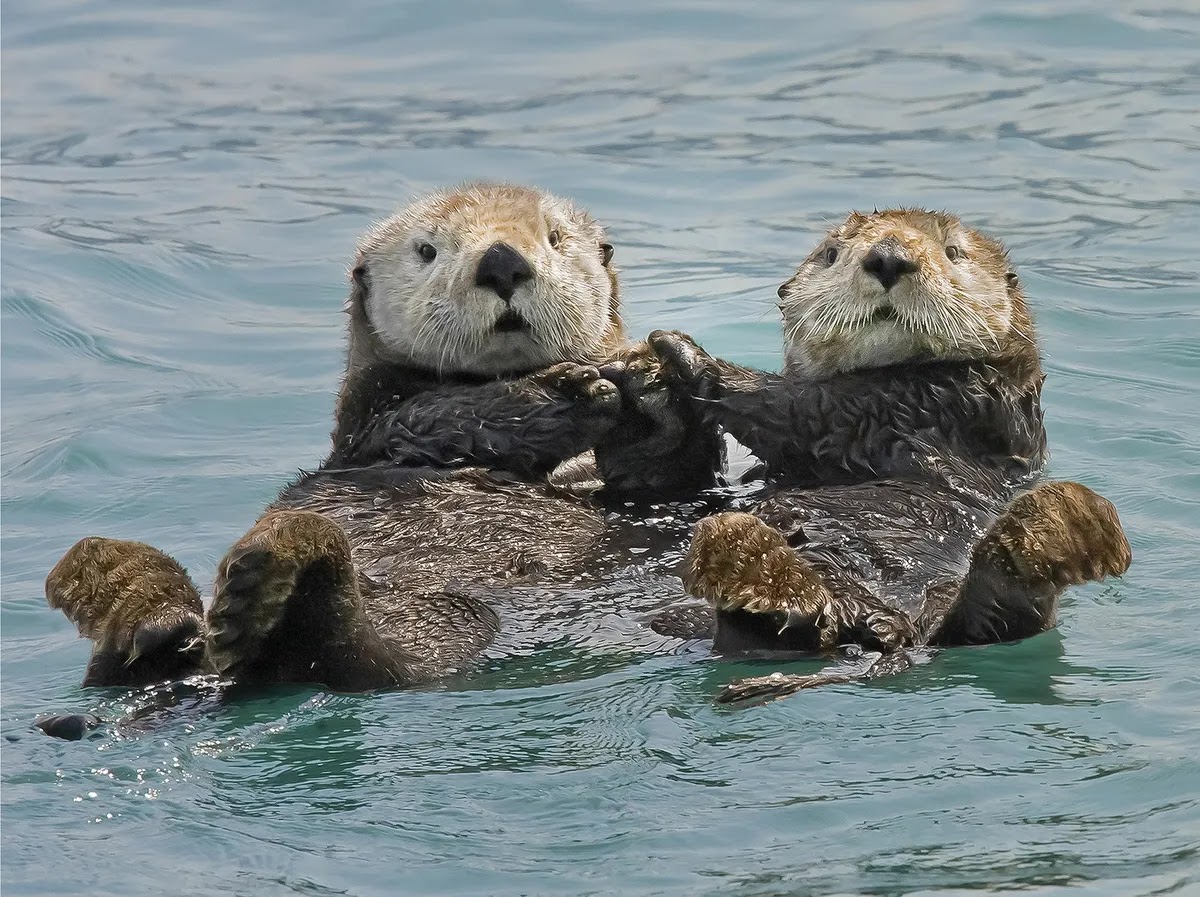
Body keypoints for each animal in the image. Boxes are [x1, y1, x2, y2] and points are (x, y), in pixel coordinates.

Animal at [44, 183, 723, 703]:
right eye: (428, 250)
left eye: (555, 238)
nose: (502, 261)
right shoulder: (376, 421)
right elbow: (443, 418)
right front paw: (570, 392)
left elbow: (660, 475)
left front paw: (655, 391)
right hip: (428, 609)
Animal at [641, 209, 1131, 701]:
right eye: (832, 253)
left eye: (953, 252)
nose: (889, 258)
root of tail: (893, 634)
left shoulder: (933, 406)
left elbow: (798, 407)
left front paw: (680, 351)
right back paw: (753, 566)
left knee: (998, 623)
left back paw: (1057, 532)